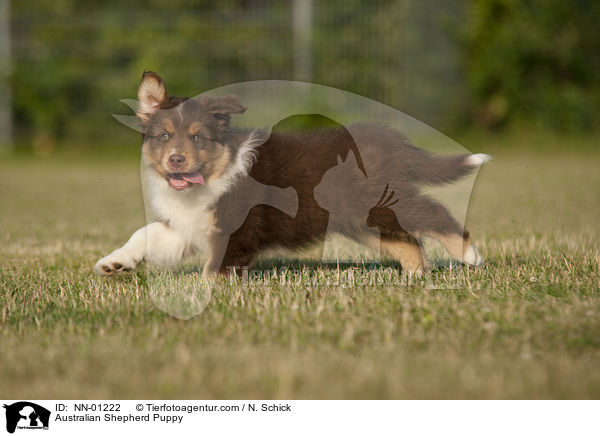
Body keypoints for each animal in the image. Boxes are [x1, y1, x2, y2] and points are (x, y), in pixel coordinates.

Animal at [96, 70, 490, 278]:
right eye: (163, 136)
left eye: (198, 137)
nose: (176, 160)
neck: (209, 180)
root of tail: (393, 140)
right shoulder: (186, 226)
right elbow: (145, 233)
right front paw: (114, 262)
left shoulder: (237, 231)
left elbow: (213, 269)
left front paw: (198, 292)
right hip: (363, 219)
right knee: (407, 242)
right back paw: (413, 278)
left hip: (383, 201)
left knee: (434, 214)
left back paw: (469, 255)